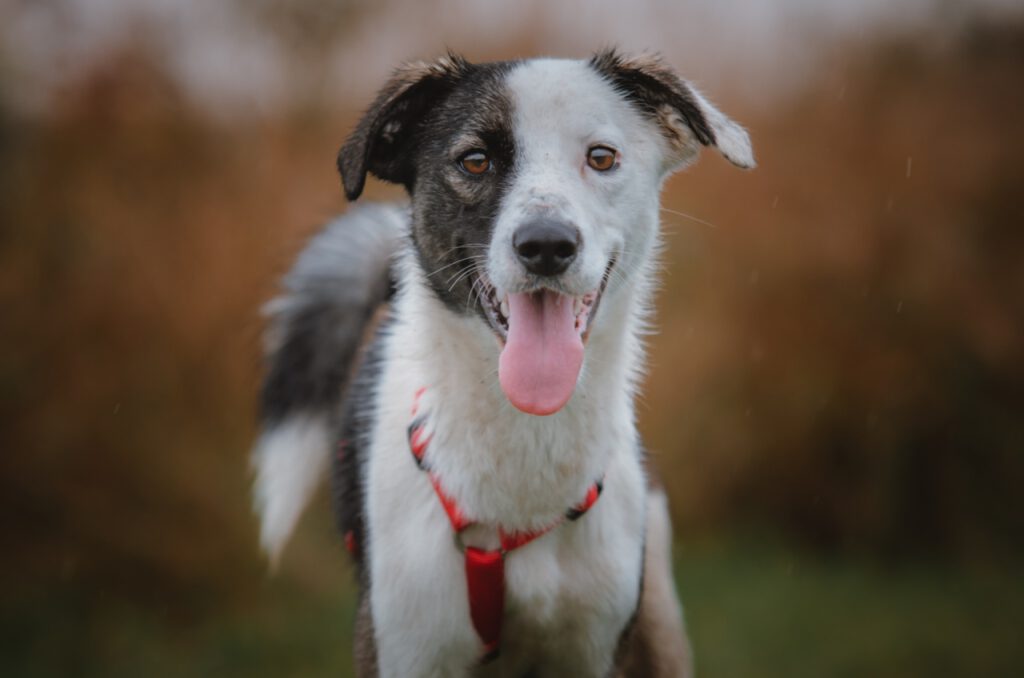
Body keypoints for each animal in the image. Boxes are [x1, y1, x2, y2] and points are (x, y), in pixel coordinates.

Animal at [252, 50, 757, 675]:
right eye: (474, 160)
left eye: (602, 157)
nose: (546, 245)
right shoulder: (407, 648)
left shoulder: (596, 648)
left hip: (660, 621)